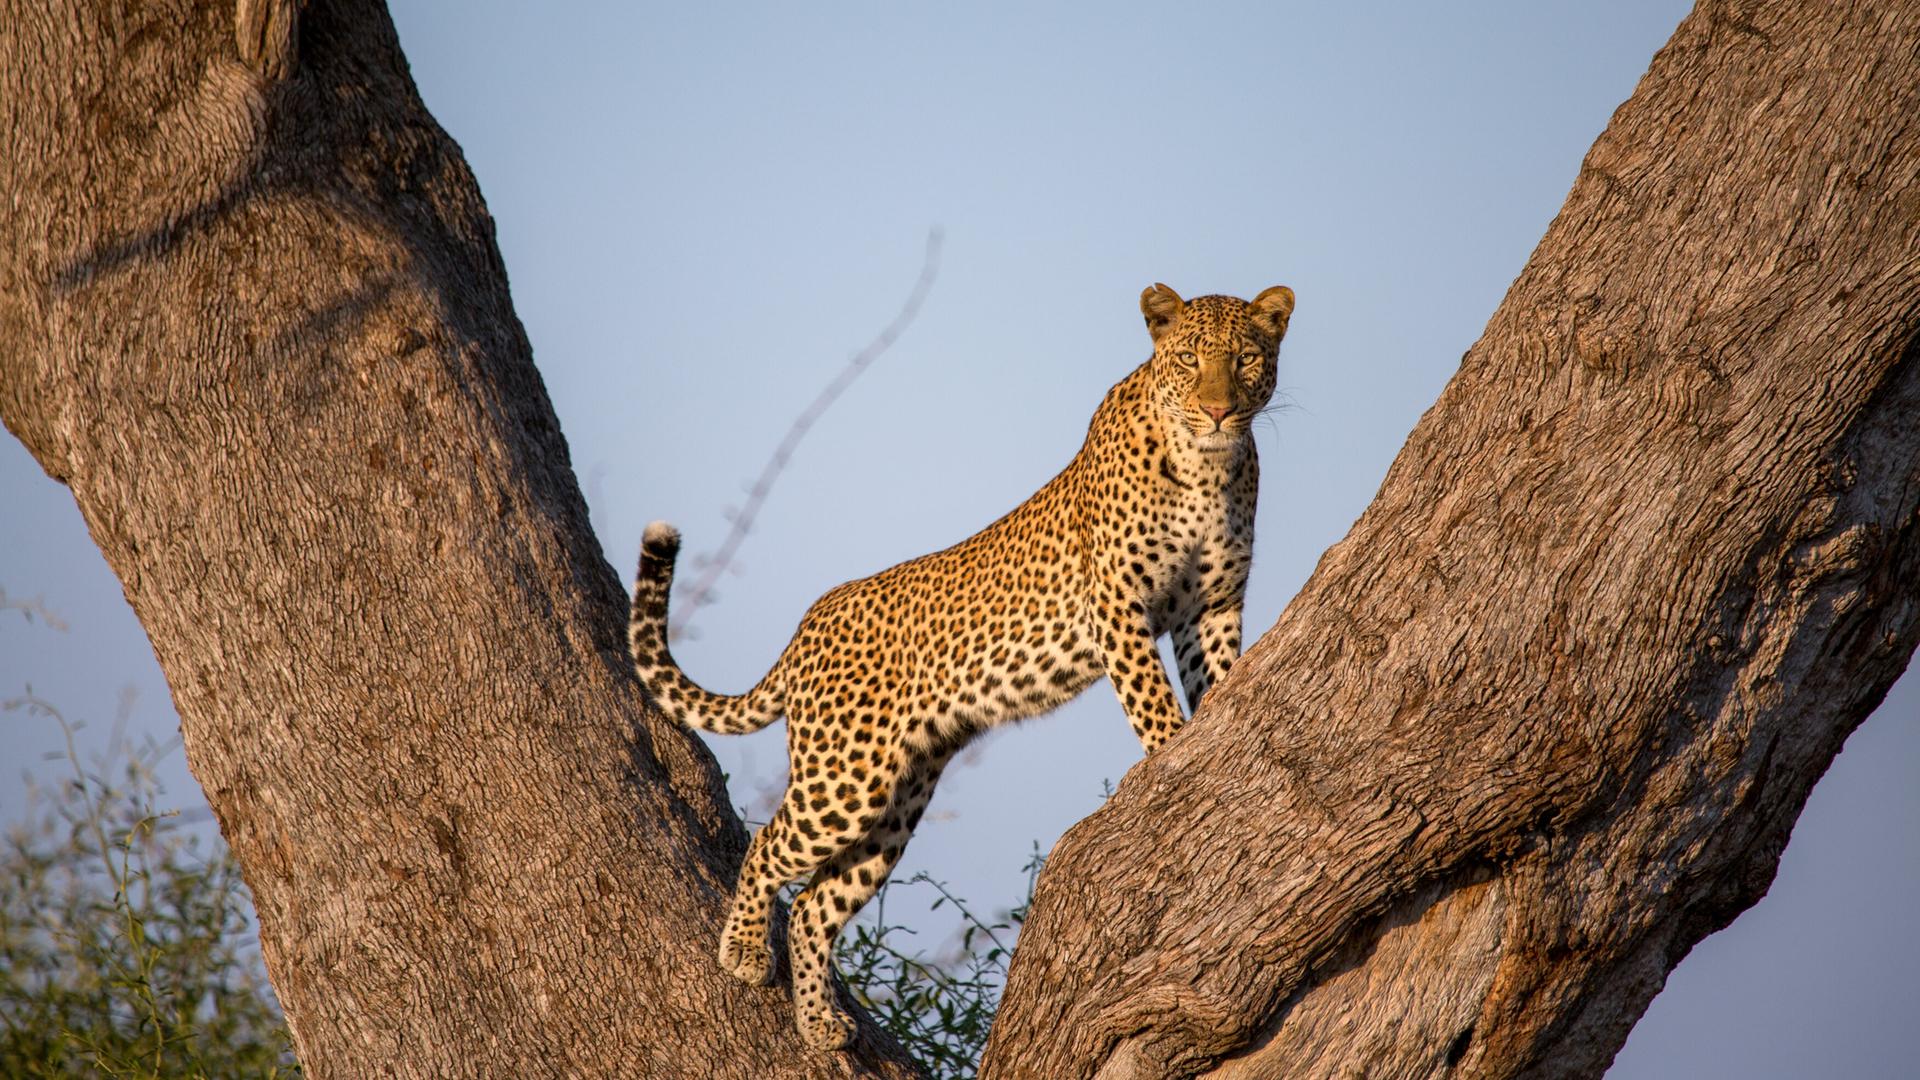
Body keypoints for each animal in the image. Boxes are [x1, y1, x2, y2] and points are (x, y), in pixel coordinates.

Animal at [628, 282, 1293, 1050]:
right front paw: (1171, 761)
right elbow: (1153, 702)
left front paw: (1210, 731)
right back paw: (741, 950)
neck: (1207, 468)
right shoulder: (1118, 604)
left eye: (1246, 359)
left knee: (817, 905)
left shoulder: (1211, 607)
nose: (1219, 411)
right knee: (768, 843)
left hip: (897, 798)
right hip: (844, 775)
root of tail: (807, 626)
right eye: (1189, 359)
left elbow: (1215, 677)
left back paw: (820, 1021)